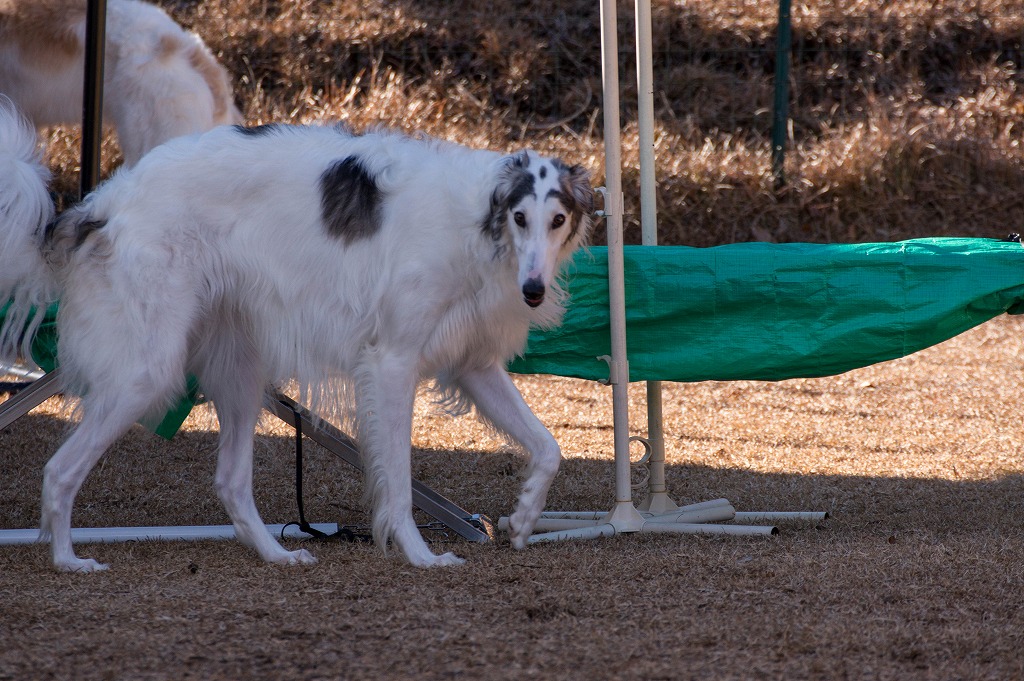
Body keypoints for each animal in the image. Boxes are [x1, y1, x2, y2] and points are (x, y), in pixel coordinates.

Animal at [0, 99, 598, 569]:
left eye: (557, 220)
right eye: (520, 217)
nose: (533, 290)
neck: (478, 220)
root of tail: (102, 203)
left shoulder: (474, 365)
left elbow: (548, 448)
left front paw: (522, 519)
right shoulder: (392, 361)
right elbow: (399, 485)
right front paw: (421, 556)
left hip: (239, 370)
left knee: (231, 483)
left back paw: (276, 553)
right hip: (147, 371)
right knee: (58, 470)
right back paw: (67, 560)